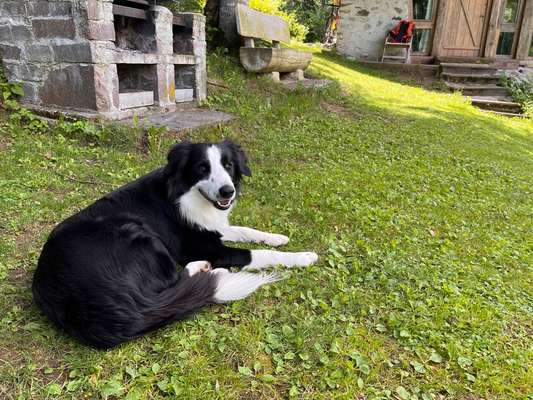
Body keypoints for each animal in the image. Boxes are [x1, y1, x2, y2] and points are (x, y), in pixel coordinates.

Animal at [32, 141, 316, 346]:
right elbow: (258, 253)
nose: (228, 191)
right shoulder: (203, 247)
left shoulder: (212, 229)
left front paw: (277, 237)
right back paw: (208, 270)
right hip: (140, 235)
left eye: (228, 165)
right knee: (175, 280)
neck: (188, 195)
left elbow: (245, 230)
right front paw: (302, 256)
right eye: (202, 168)